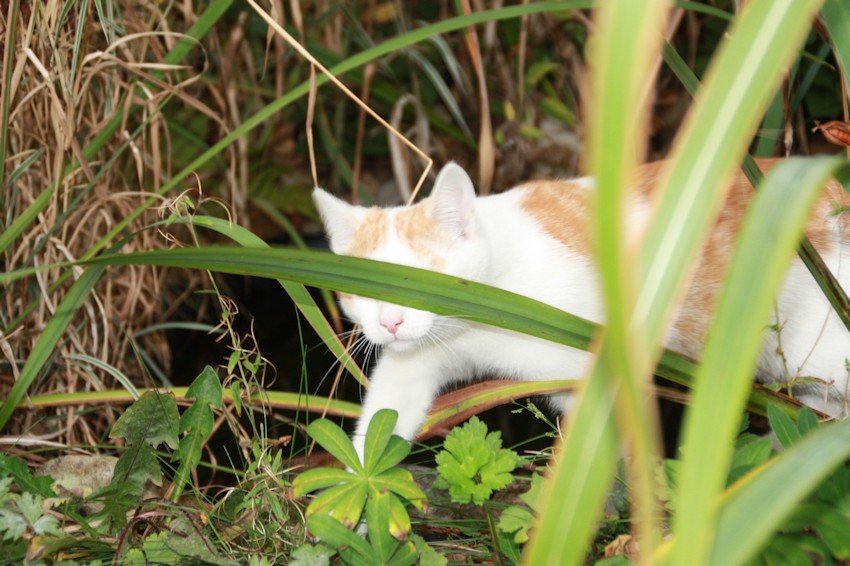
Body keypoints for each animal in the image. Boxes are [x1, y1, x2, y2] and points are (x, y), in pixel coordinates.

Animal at [314, 161, 848, 458]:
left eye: (427, 278)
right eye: (362, 290)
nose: (391, 321)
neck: (476, 321)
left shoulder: (587, 374)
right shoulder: (415, 361)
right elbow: (382, 421)